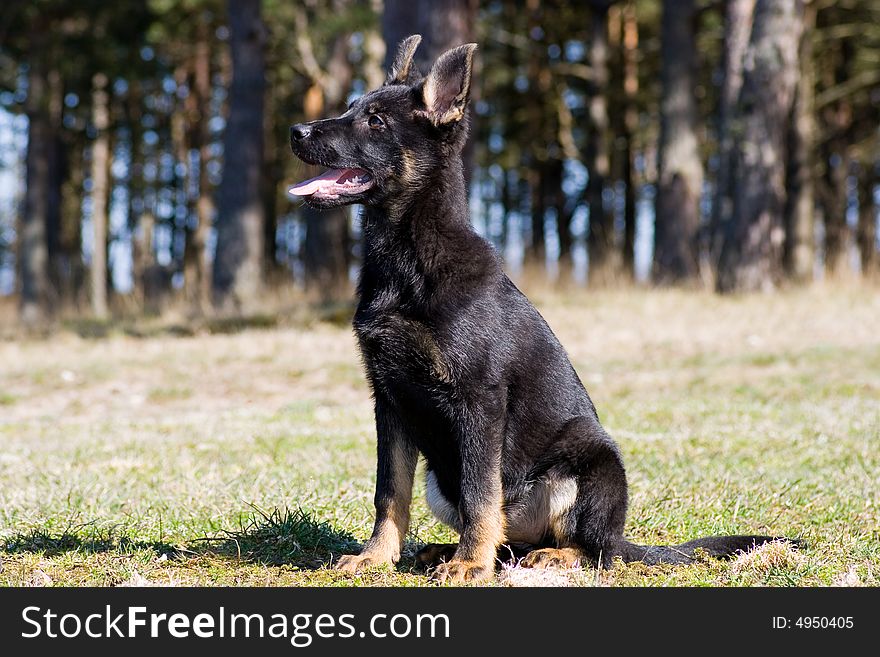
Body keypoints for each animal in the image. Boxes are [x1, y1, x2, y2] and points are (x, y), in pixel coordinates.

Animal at [288, 33, 784, 580]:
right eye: (351, 108)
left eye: (374, 121)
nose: (295, 130)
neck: (407, 260)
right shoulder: (390, 400)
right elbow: (389, 491)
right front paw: (376, 557)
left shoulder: (479, 400)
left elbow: (481, 492)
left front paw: (469, 565)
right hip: (441, 482)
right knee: (510, 539)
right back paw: (451, 549)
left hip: (592, 464)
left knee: (594, 550)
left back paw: (542, 554)